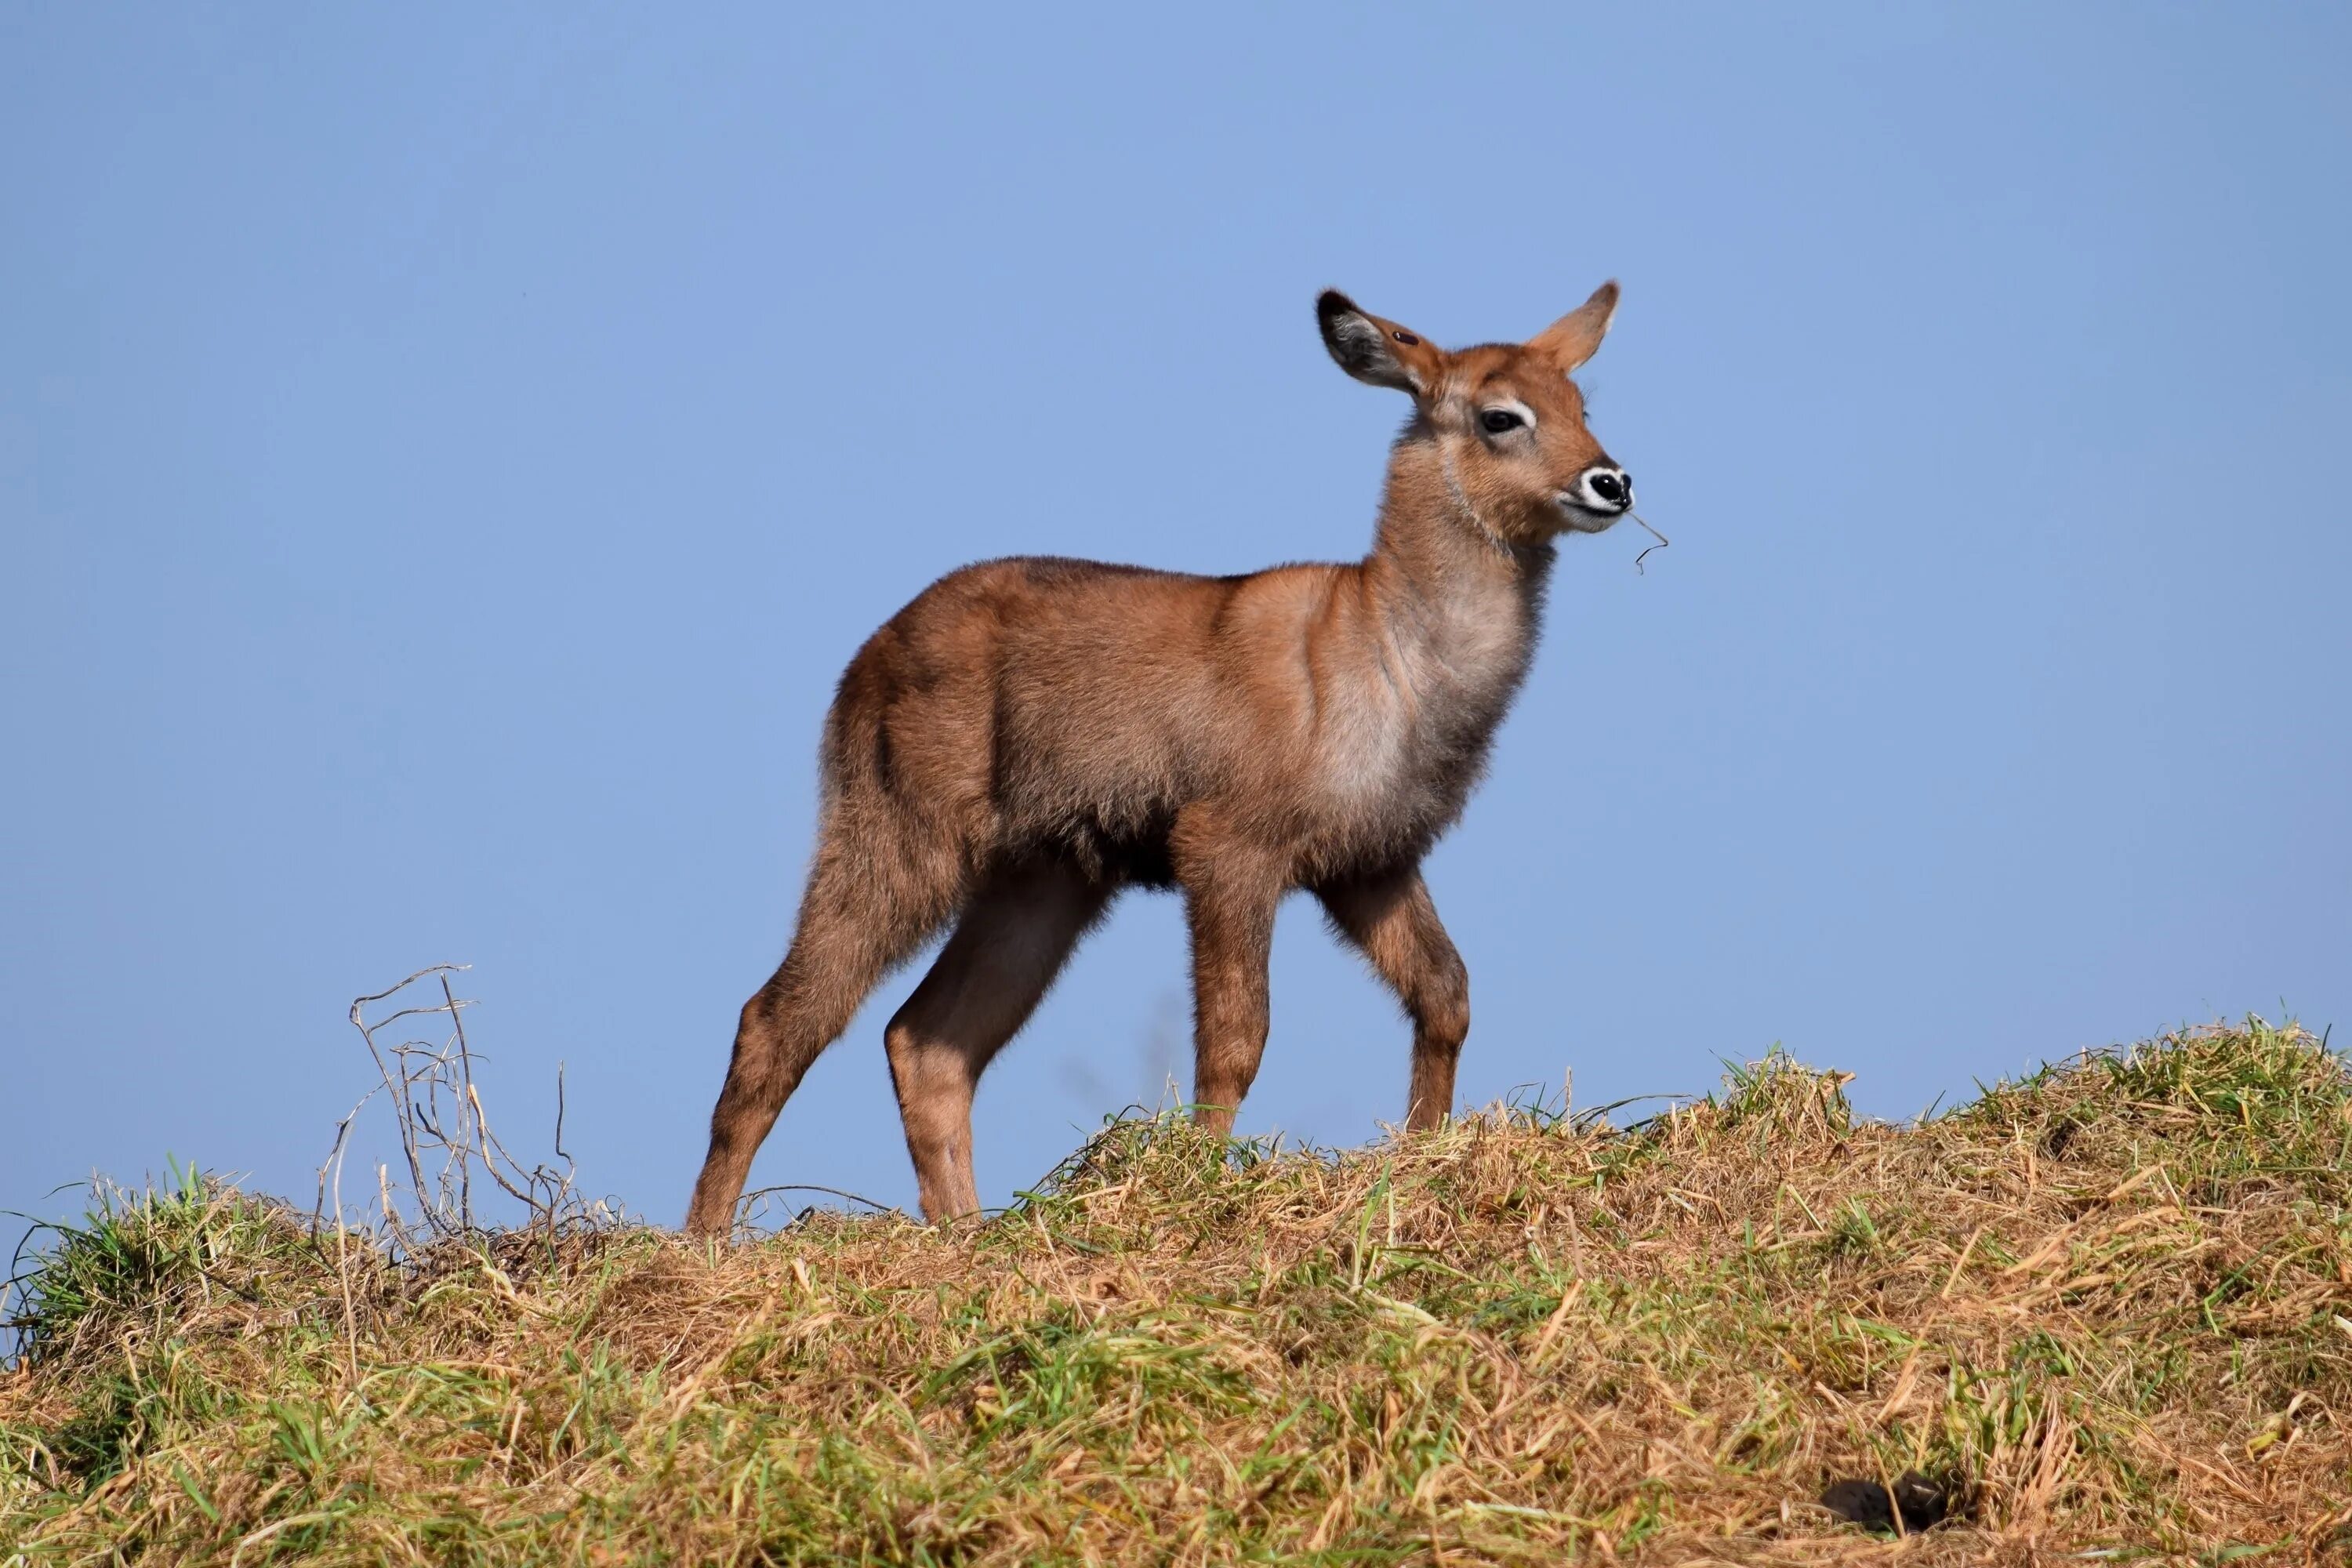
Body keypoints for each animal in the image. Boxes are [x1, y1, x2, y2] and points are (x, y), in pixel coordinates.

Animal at [682, 281, 1637, 1241]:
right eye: (1501, 415)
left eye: (1582, 406)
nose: (1614, 481)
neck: (1393, 655)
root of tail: (861, 663)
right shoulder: (1227, 843)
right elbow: (1235, 1039)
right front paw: (1206, 1185)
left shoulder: (1371, 858)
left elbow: (1447, 994)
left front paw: (1423, 1154)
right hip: (901, 835)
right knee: (776, 1016)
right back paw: (706, 1240)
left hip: (1043, 878)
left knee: (927, 1040)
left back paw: (964, 1229)